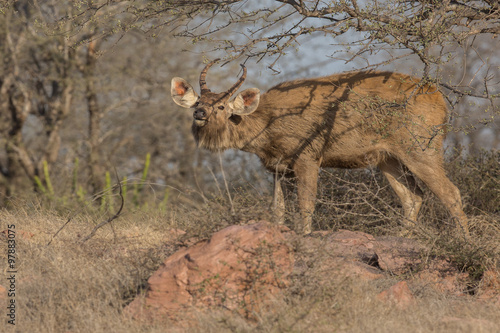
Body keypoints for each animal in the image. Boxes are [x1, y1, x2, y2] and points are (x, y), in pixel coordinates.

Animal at [171, 60, 468, 236]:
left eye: (221, 106)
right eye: (199, 101)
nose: (199, 113)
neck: (266, 127)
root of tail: (441, 101)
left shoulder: (307, 157)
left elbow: (306, 205)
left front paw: (304, 239)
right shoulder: (277, 168)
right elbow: (278, 209)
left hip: (421, 147)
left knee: (451, 192)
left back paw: (462, 242)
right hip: (388, 158)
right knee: (413, 196)